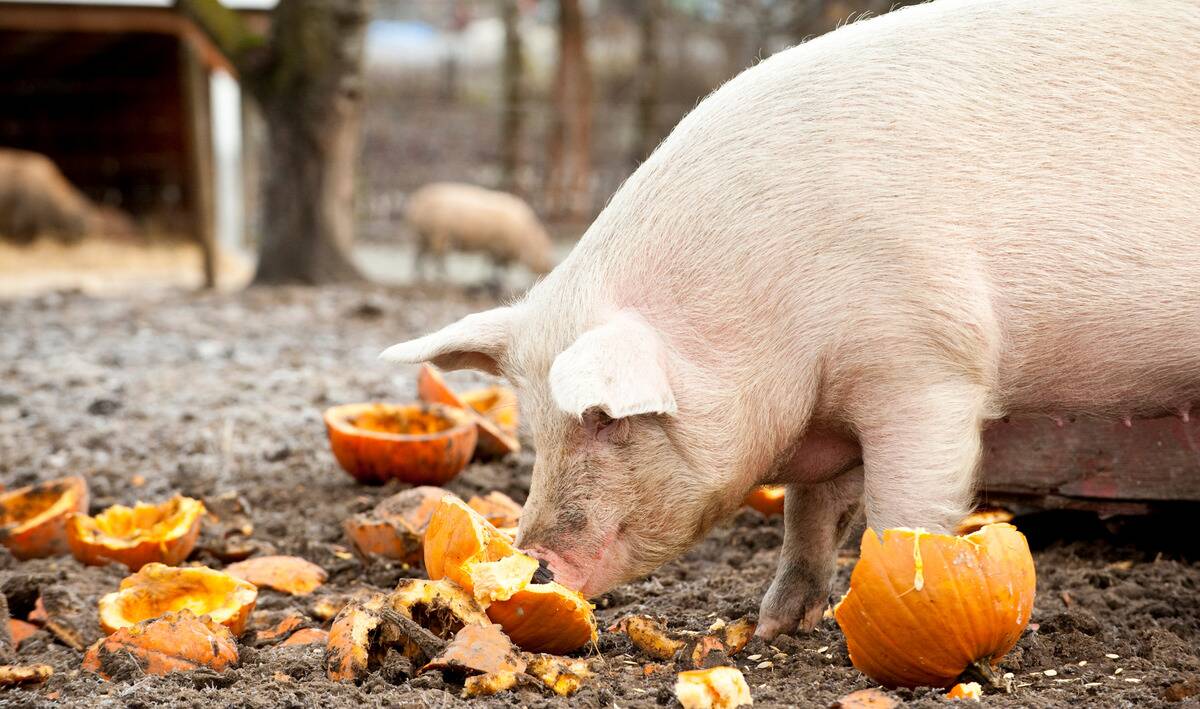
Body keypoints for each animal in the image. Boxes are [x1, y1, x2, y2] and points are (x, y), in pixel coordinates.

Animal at [405, 182, 555, 281]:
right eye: (542, 252)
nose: (548, 268)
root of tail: (415, 201)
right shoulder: (498, 247)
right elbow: (496, 266)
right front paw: (496, 279)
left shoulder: (497, 248)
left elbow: (494, 264)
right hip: (439, 233)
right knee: (437, 255)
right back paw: (443, 276)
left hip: (423, 233)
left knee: (420, 253)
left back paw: (419, 275)